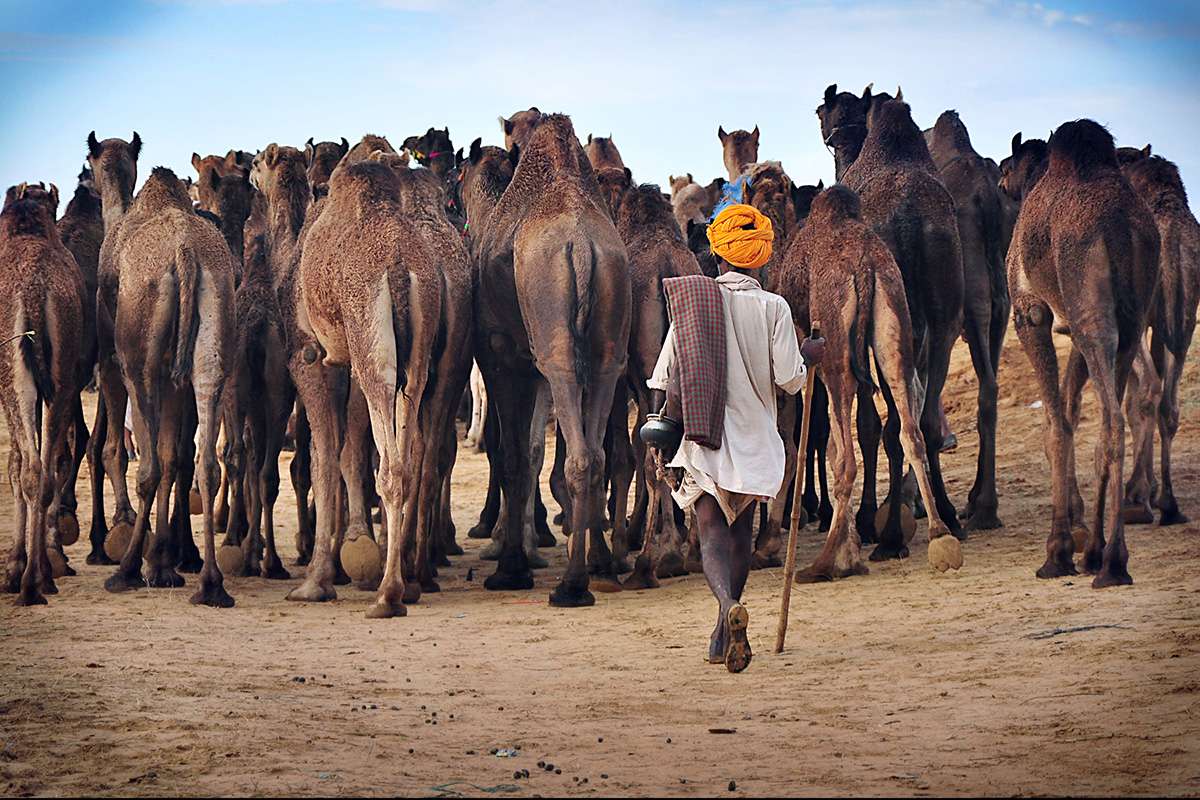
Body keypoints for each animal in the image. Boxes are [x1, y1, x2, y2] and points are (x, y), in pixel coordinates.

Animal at [98, 167, 236, 607]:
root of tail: (185, 253)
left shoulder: (117, 359)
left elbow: (147, 454)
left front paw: (154, 563)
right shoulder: (176, 379)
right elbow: (175, 454)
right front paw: (163, 562)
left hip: (139, 360)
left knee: (149, 467)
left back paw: (125, 570)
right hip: (214, 323)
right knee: (206, 461)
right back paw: (211, 584)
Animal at [467, 114, 631, 606]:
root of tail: (581, 245)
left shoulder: (501, 356)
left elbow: (514, 454)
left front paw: (511, 567)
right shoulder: (534, 362)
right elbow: (535, 449)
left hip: (553, 348)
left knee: (576, 455)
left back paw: (572, 585)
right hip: (603, 349)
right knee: (595, 454)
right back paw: (598, 568)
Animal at [775, 184, 962, 579]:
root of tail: (864, 266)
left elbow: (828, 441)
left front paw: (849, 545)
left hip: (836, 346)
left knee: (847, 456)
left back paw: (828, 561)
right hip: (893, 317)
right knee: (911, 431)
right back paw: (940, 534)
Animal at [829, 93, 965, 561]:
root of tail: (909, 214)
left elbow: (869, 424)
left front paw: (870, 517)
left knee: (893, 425)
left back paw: (889, 534)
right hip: (943, 321)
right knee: (923, 418)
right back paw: (948, 516)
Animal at [1006, 119, 1159, 587]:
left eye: (1006, 167)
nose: (1000, 181)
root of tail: (1125, 229)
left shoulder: (1031, 313)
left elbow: (1056, 426)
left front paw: (1057, 551)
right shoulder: (1071, 327)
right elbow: (1070, 413)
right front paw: (1079, 543)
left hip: (1093, 315)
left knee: (1112, 420)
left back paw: (1112, 564)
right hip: (1126, 323)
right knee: (1115, 414)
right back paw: (1101, 553)